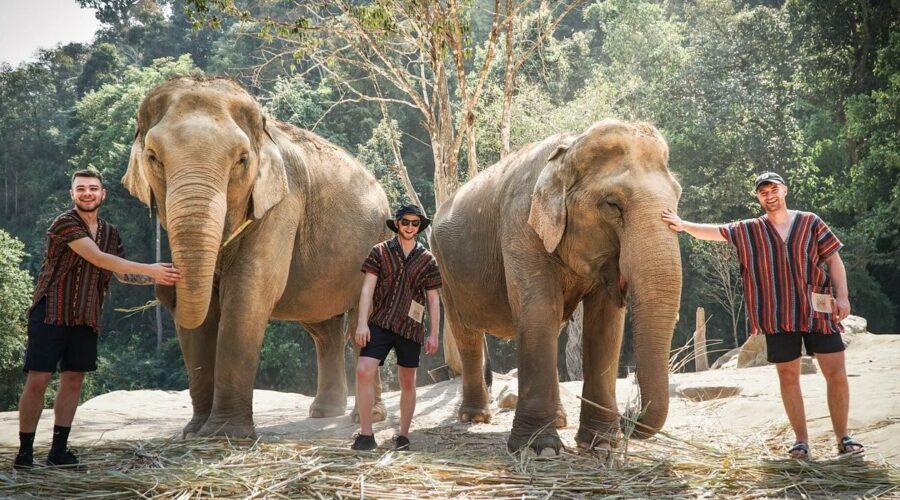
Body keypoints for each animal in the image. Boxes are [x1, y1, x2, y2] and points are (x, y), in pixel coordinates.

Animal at [122, 76, 391, 438]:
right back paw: (324, 412)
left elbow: (248, 292)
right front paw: (194, 432)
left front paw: (225, 435)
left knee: (361, 322)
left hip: (379, 242)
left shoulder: (283, 204)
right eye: (153, 157)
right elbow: (205, 312)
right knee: (324, 329)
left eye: (241, 160)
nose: (164, 286)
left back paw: (366, 417)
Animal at [430, 119, 682, 455]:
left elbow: (604, 325)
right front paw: (539, 449)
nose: (629, 415)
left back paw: (560, 421)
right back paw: (475, 417)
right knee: (466, 334)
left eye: (677, 197)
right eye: (612, 205)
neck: (569, 150)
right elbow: (539, 312)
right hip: (445, 269)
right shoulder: (520, 225)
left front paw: (601, 444)